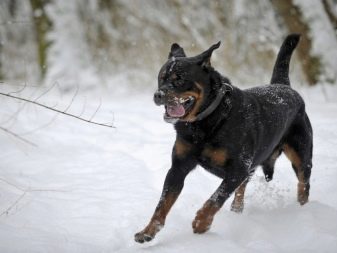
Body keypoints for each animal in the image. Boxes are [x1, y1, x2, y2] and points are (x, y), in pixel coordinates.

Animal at [135, 33, 312, 243]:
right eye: (161, 78)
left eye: (180, 79)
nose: (158, 95)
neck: (205, 122)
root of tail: (284, 86)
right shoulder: (178, 167)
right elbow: (162, 203)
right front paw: (148, 231)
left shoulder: (238, 168)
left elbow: (216, 197)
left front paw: (201, 223)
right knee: (242, 190)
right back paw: (237, 210)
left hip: (301, 156)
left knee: (303, 184)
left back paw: (303, 211)